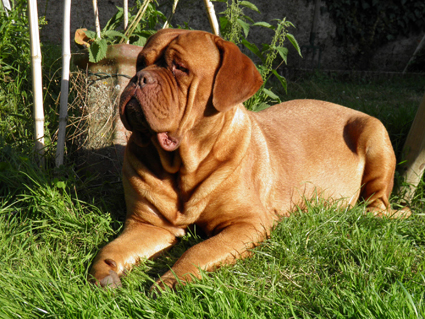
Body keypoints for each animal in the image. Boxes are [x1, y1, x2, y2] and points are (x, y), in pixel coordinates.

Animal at [88, 28, 408, 292]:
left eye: (180, 68)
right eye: (141, 62)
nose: (139, 78)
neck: (182, 167)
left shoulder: (248, 222)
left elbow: (199, 250)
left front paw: (172, 280)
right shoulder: (148, 224)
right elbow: (110, 250)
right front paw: (103, 273)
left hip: (374, 132)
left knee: (378, 203)